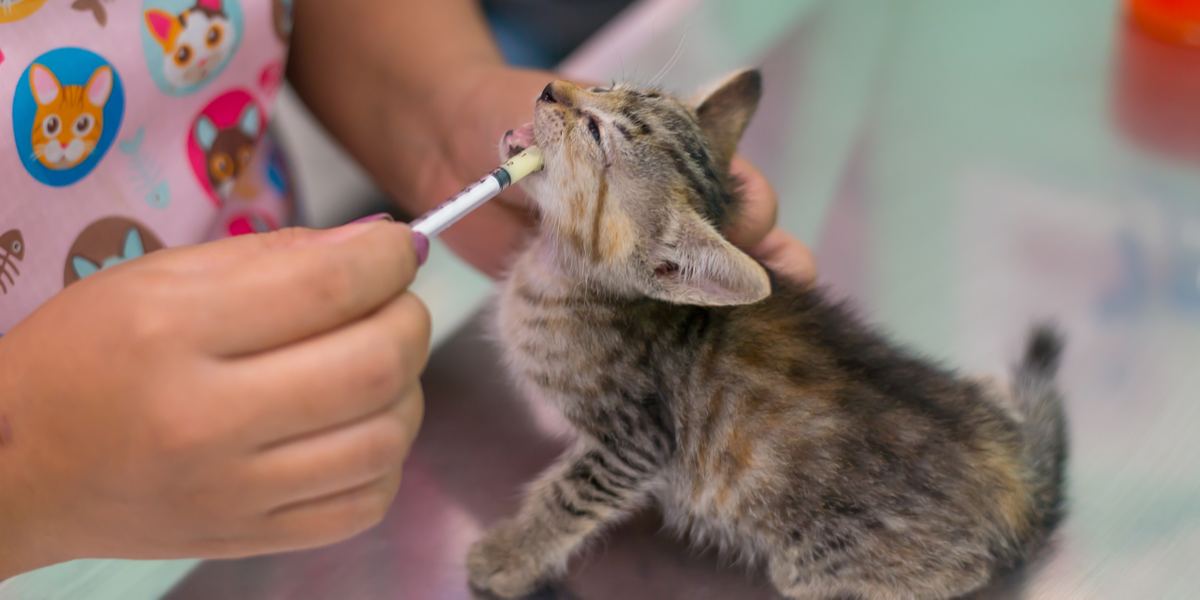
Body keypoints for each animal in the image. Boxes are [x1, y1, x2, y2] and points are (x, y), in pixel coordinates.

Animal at [468, 71, 1070, 600]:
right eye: (603, 86)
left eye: (596, 132)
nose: (550, 87)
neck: (562, 274)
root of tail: (1021, 488)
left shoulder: (636, 441)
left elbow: (566, 498)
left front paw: (509, 556)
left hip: (817, 562)